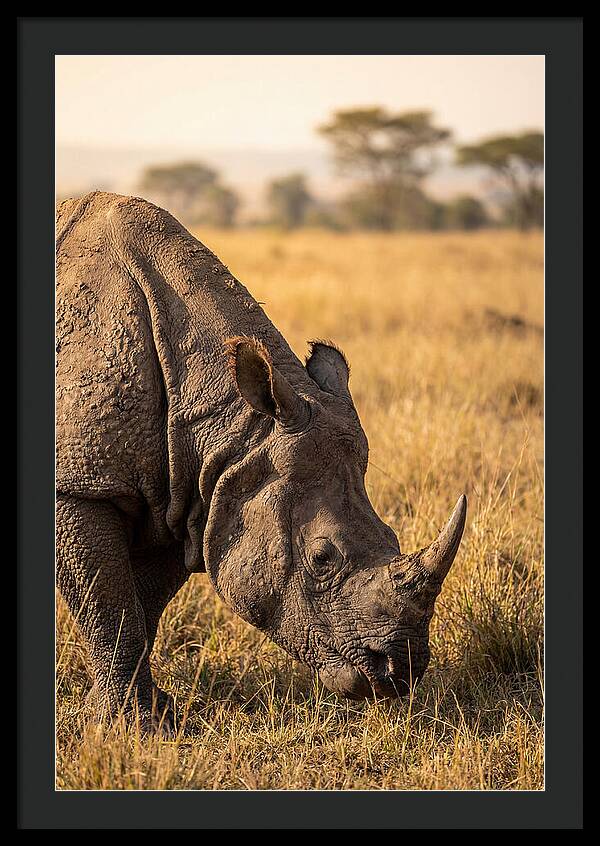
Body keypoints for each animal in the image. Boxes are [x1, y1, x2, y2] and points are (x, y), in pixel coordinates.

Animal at [56, 191, 466, 727]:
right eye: (322, 558)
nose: (400, 672)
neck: (232, 428)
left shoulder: (186, 494)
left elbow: (140, 608)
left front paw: (144, 714)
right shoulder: (81, 485)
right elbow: (112, 613)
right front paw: (134, 727)